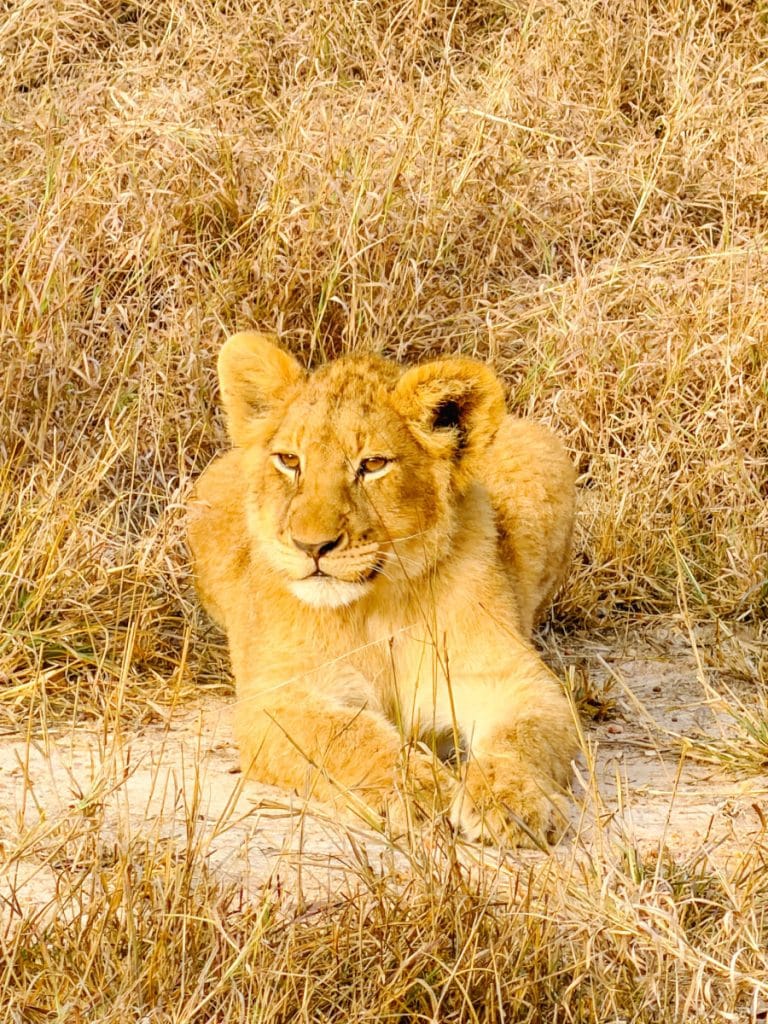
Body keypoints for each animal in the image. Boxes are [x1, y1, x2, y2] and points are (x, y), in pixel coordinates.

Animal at [188, 331, 579, 846]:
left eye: (372, 464)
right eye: (289, 460)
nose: (312, 546)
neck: (374, 606)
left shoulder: (516, 681)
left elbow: (523, 737)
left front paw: (508, 800)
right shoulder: (277, 700)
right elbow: (349, 739)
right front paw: (422, 790)